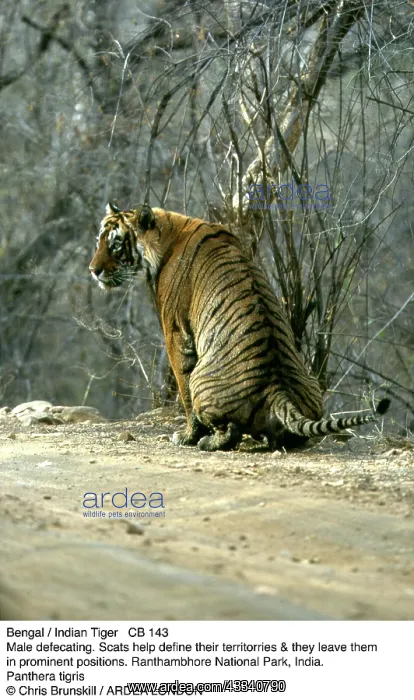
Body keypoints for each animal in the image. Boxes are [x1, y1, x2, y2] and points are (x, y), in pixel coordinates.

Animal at [89, 202, 389, 451]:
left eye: (116, 245)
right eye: (98, 242)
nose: (93, 271)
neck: (168, 234)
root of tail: (278, 389)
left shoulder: (175, 334)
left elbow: (183, 393)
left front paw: (186, 437)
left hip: (201, 380)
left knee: (227, 429)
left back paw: (209, 442)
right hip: (311, 387)